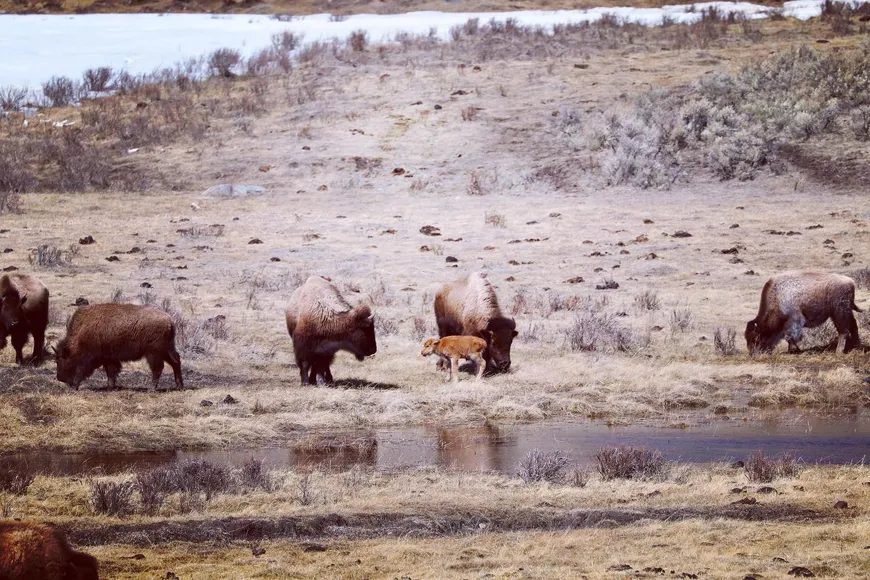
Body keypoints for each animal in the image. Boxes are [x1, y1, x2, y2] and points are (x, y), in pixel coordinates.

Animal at [55, 303, 184, 390]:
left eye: (62, 359)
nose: (59, 378)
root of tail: (169, 321)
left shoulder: (88, 359)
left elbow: (81, 371)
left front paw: (75, 387)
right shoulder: (108, 358)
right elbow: (111, 371)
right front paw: (110, 386)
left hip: (153, 353)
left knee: (158, 368)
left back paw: (151, 388)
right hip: (166, 350)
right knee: (175, 362)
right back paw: (179, 386)